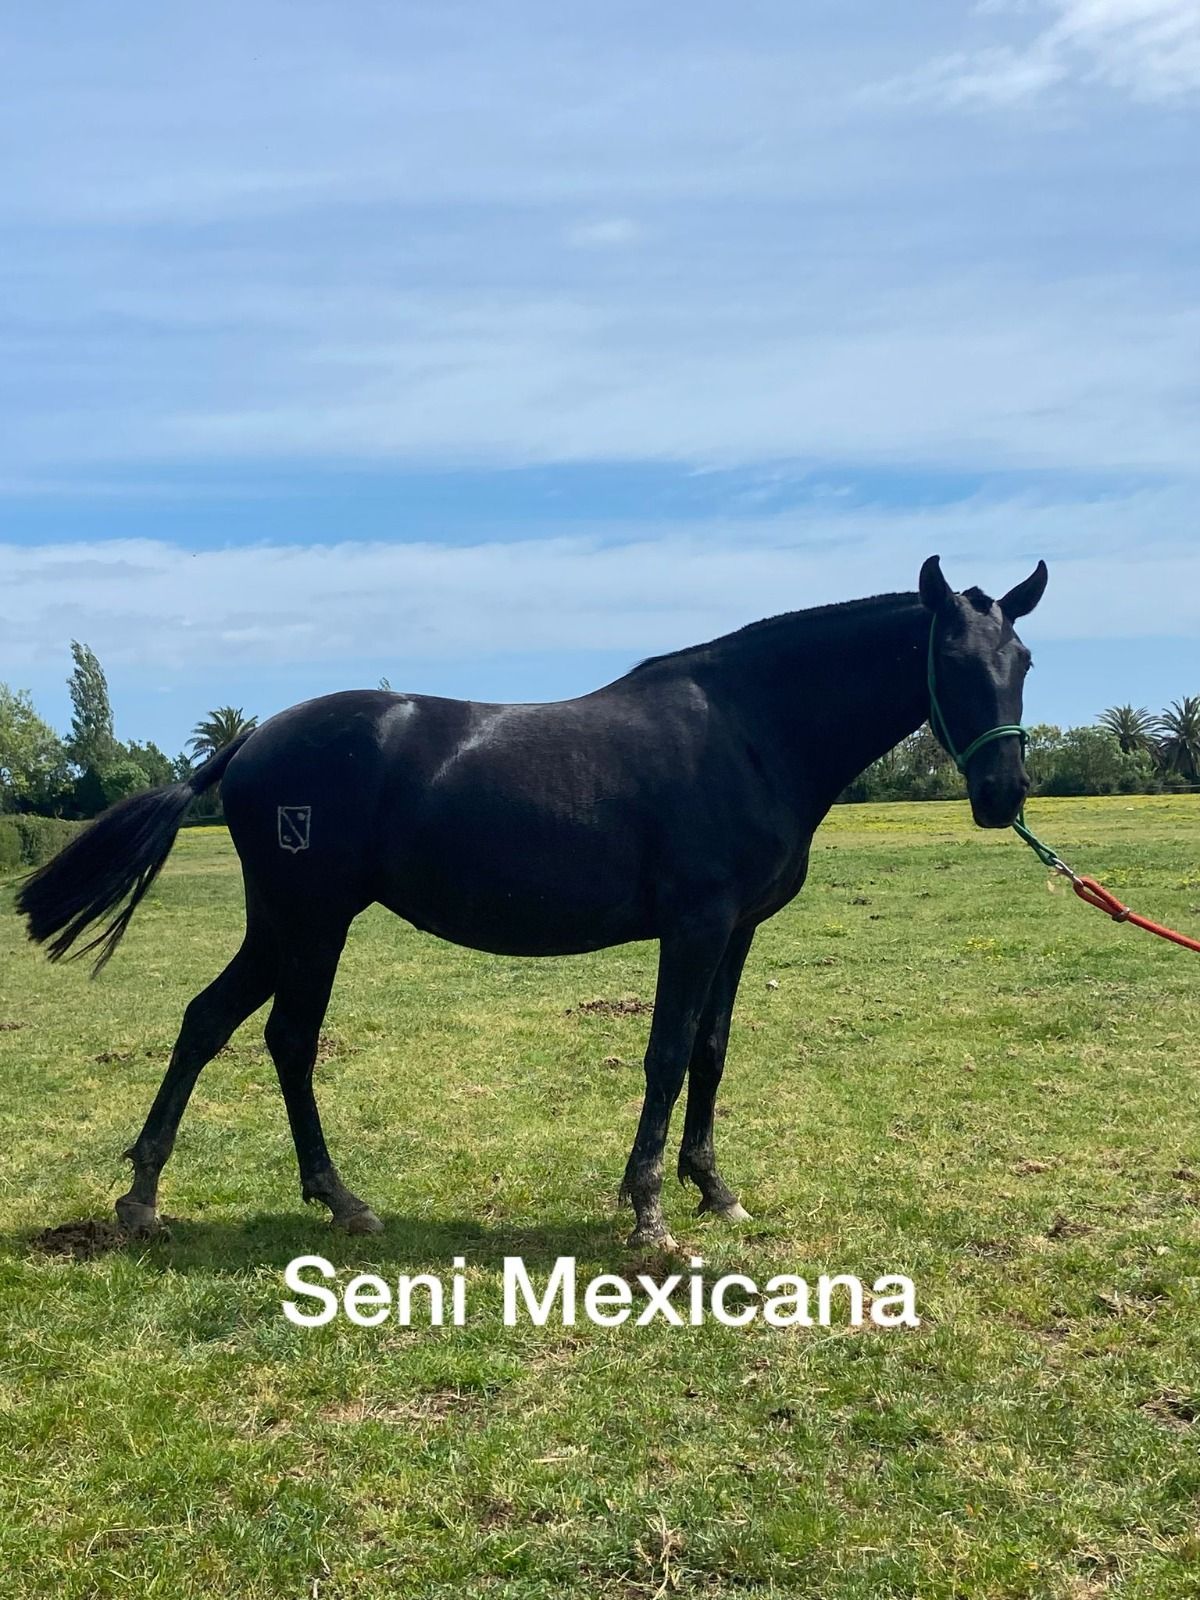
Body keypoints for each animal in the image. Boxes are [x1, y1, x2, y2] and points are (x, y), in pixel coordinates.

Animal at [17, 554, 1047, 1248]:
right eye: (951, 660)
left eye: (1024, 659)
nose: (1002, 797)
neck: (752, 730)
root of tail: (251, 740)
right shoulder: (695, 925)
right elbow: (665, 1056)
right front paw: (648, 1215)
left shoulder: (737, 932)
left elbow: (709, 1054)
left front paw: (713, 1190)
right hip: (311, 922)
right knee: (284, 1039)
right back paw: (302, 1199)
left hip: (285, 924)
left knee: (213, 1022)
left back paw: (167, 1197)